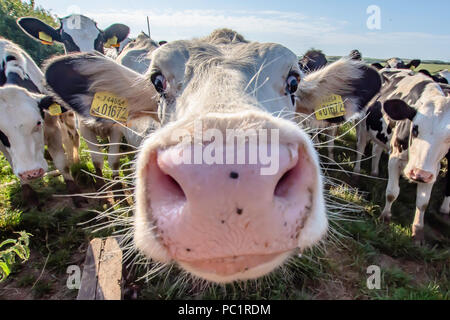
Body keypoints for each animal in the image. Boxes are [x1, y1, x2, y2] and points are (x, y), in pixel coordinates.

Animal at [0, 38, 83, 208]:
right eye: (0, 131)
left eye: (38, 123)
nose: (31, 173)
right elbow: (13, 164)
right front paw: (30, 196)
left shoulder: (52, 129)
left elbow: (61, 162)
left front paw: (76, 194)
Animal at [354, 69, 448, 242]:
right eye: (415, 128)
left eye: (449, 137)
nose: (418, 174)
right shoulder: (395, 159)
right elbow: (392, 192)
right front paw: (385, 218)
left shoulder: (433, 170)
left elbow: (423, 202)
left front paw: (418, 232)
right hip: (363, 126)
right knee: (360, 149)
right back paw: (356, 174)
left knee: (376, 150)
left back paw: (375, 173)